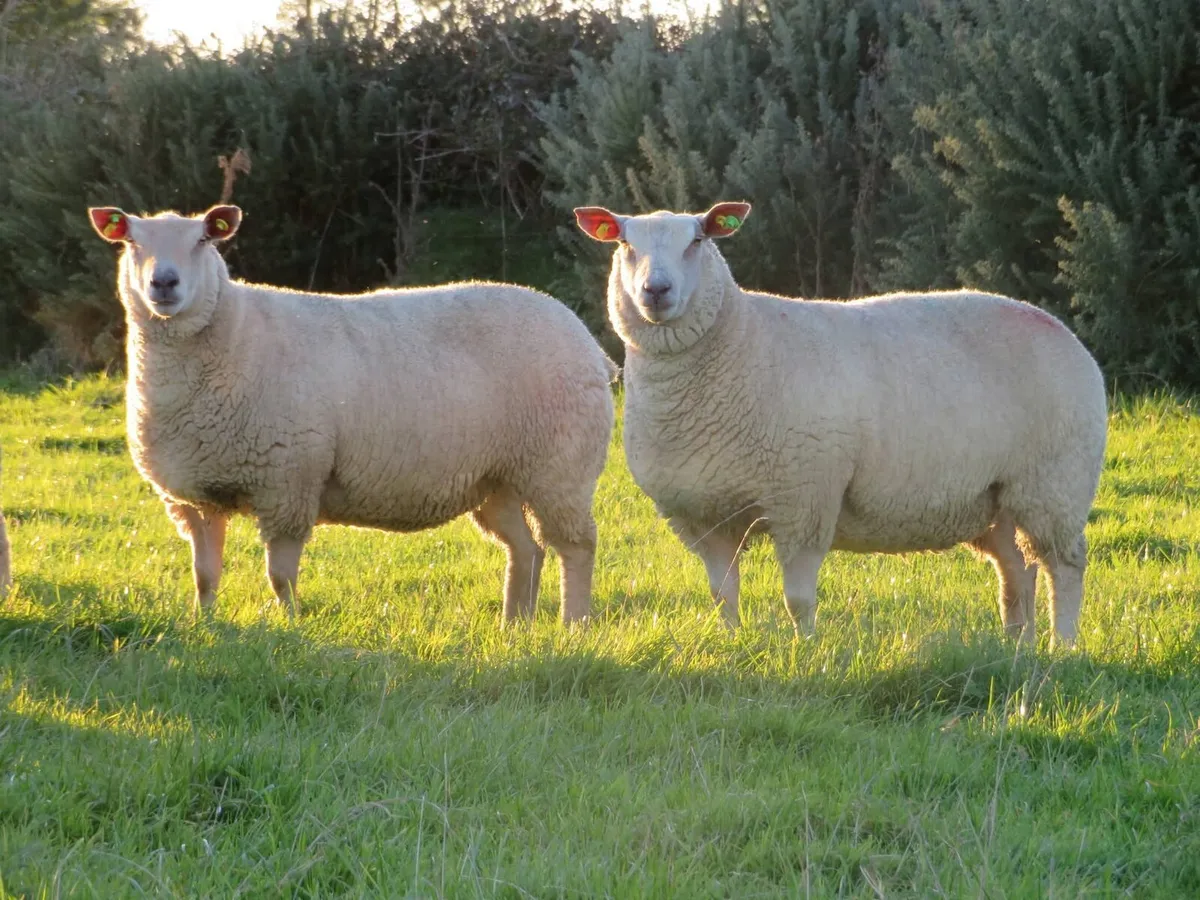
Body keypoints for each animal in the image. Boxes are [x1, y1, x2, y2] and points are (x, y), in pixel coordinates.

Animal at [89, 204, 616, 624]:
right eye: (131, 242)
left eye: (202, 240)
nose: (164, 283)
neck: (229, 334)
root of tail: (586, 339)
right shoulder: (192, 496)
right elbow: (204, 575)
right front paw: (207, 625)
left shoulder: (288, 481)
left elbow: (280, 575)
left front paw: (290, 627)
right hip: (497, 477)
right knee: (526, 549)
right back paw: (515, 625)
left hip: (559, 467)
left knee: (577, 547)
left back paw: (573, 625)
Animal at [575, 201, 1107, 646]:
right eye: (625, 243)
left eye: (698, 239)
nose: (656, 291)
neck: (736, 344)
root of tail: (1065, 334)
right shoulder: (703, 515)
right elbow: (722, 593)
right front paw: (731, 642)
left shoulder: (804, 497)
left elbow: (798, 598)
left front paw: (806, 651)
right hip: (998, 498)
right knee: (1018, 571)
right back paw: (1018, 646)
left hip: (1055, 484)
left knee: (1064, 567)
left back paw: (1062, 646)